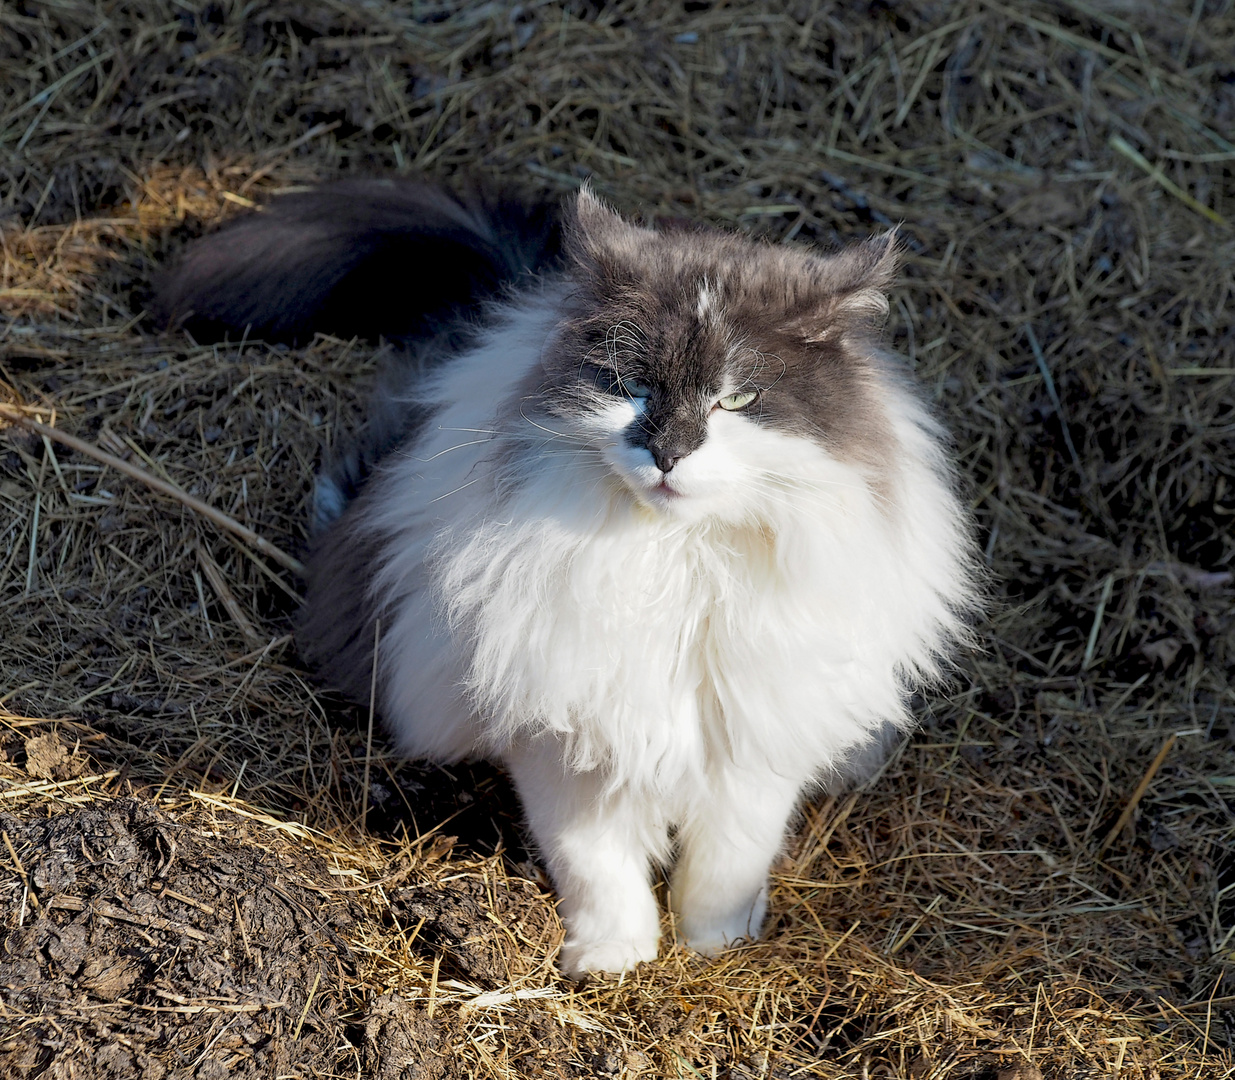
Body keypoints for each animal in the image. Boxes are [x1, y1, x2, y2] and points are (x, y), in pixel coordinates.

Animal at [156, 179, 983, 978]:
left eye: (738, 399)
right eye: (630, 386)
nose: (668, 453)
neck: (673, 562)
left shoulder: (750, 740)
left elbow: (724, 863)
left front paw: (714, 945)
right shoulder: (561, 738)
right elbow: (596, 867)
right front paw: (611, 956)